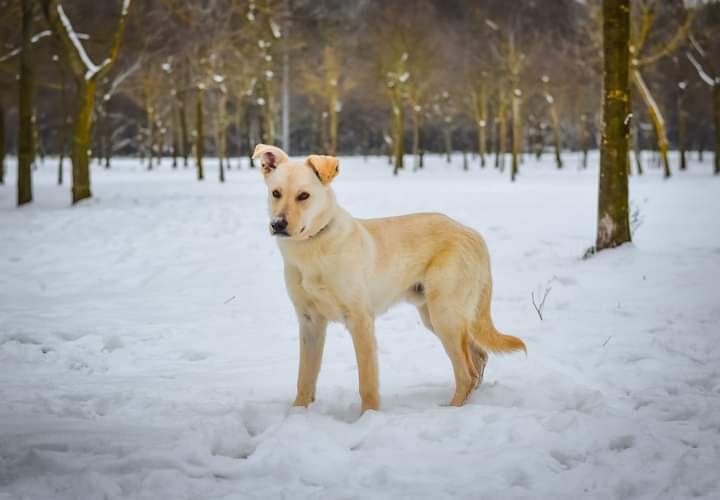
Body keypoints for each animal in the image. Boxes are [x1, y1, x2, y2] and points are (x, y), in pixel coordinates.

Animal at [253, 143, 524, 412]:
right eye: (276, 193)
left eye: (304, 196)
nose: (278, 224)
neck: (312, 245)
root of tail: (472, 233)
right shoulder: (309, 322)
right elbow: (305, 378)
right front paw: (298, 411)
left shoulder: (360, 320)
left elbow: (367, 382)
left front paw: (368, 416)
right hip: (435, 316)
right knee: (479, 358)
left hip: (445, 316)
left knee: (466, 372)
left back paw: (453, 409)